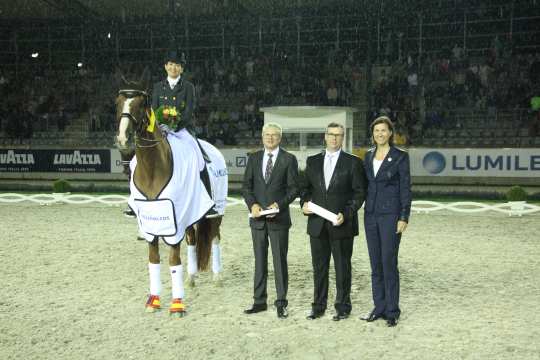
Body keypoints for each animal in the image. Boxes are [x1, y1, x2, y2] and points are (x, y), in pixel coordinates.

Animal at [115, 70, 223, 318]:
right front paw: (153, 300)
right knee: (193, 239)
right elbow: (153, 260)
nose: (123, 139)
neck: (152, 168)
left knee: (214, 238)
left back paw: (216, 277)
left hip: (216, 212)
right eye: (118, 102)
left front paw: (177, 305)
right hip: (191, 215)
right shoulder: (152, 221)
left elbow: (174, 261)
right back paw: (191, 277)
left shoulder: (173, 221)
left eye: (141, 103)